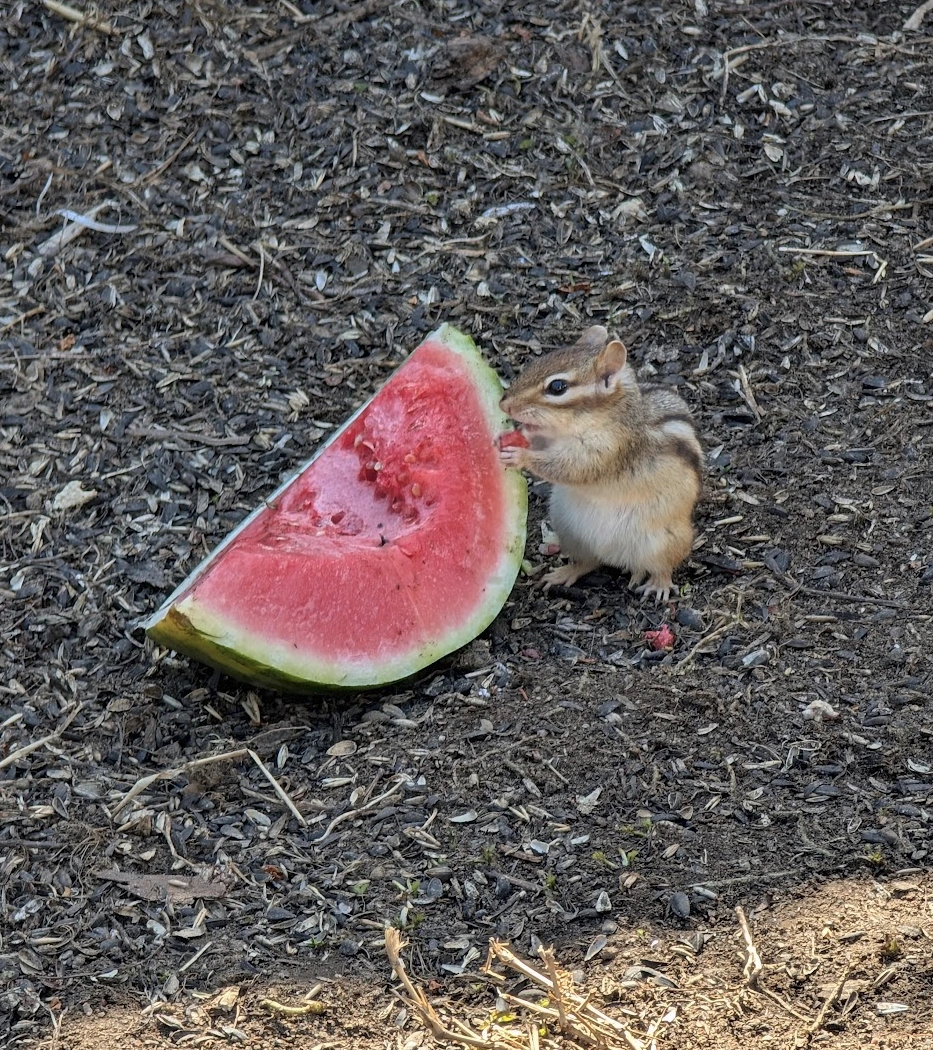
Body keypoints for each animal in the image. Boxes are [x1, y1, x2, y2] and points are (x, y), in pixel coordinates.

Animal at [499, 325, 702, 602]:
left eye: (558, 387)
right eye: (536, 363)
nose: (503, 404)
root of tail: (619, 559)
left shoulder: (608, 450)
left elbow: (568, 468)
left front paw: (521, 455)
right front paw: (521, 435)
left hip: (664, 541)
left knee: (664, 566)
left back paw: (658, 585)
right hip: (570, 531)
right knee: (588, 562)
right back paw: (563, 574)